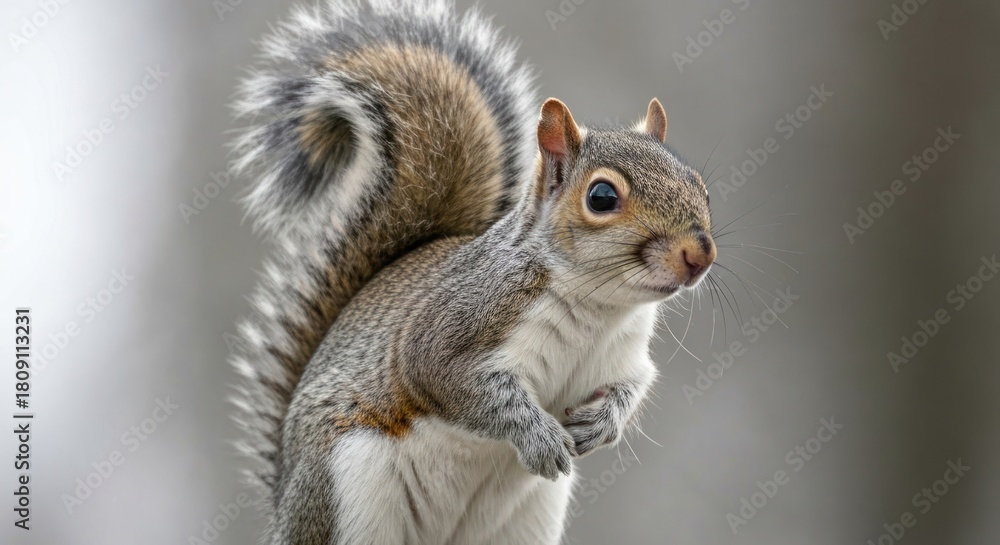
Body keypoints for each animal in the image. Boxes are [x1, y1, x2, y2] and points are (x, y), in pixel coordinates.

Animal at [229, 1, 716, 544]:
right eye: (602, 196)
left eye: (700, 186)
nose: (700, 255)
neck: (596, 307)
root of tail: (284, 502)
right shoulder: (458, 325)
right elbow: (461, 385)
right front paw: (539, 436)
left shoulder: (623, 358)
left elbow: (633, 386)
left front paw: (603, 424)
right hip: (346, 491)